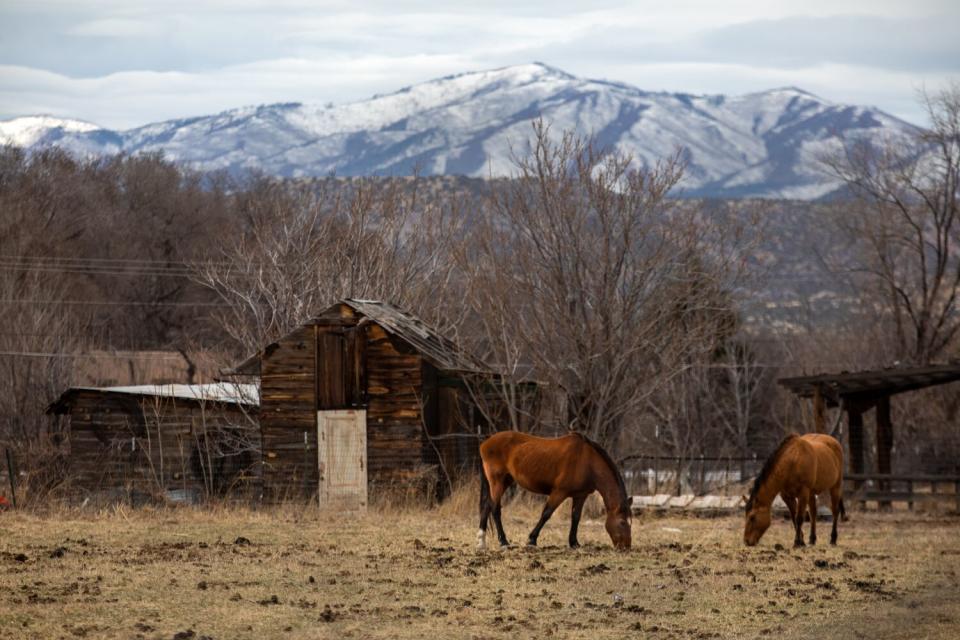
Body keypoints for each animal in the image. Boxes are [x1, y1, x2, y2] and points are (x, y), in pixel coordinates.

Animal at [478, 430, 632, 552]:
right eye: (623, 523)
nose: (626, 547)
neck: (587, 461)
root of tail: (485, 443)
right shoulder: (559, 492)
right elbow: (546, 513)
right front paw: (532, 540)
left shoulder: (580, 496)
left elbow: (576, 517)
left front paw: (574, 543)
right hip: (497, 482)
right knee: (495, 508)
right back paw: (503, 542)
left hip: (504, 482)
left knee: (487, 506)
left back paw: (481, 541)